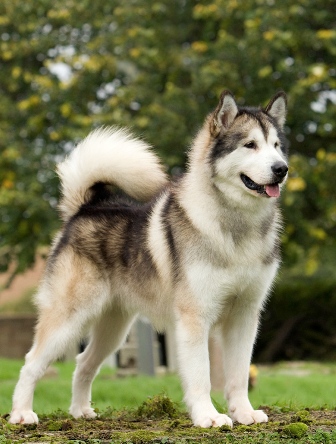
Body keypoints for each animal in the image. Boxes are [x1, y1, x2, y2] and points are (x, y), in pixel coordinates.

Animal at [10, 90, 288, 426]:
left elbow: (238, 375)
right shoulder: (195, 317)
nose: (282, 169)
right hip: (69, 318)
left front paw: (243, 412)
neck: (236, 228)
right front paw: (208, 417)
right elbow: (202, 376)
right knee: (31, 362)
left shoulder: (245, 316)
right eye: (250, 145)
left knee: (84, 361)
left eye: (277, 146)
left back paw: (80, 411)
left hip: (114, 329)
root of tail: (87, 208)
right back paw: (22, 413)